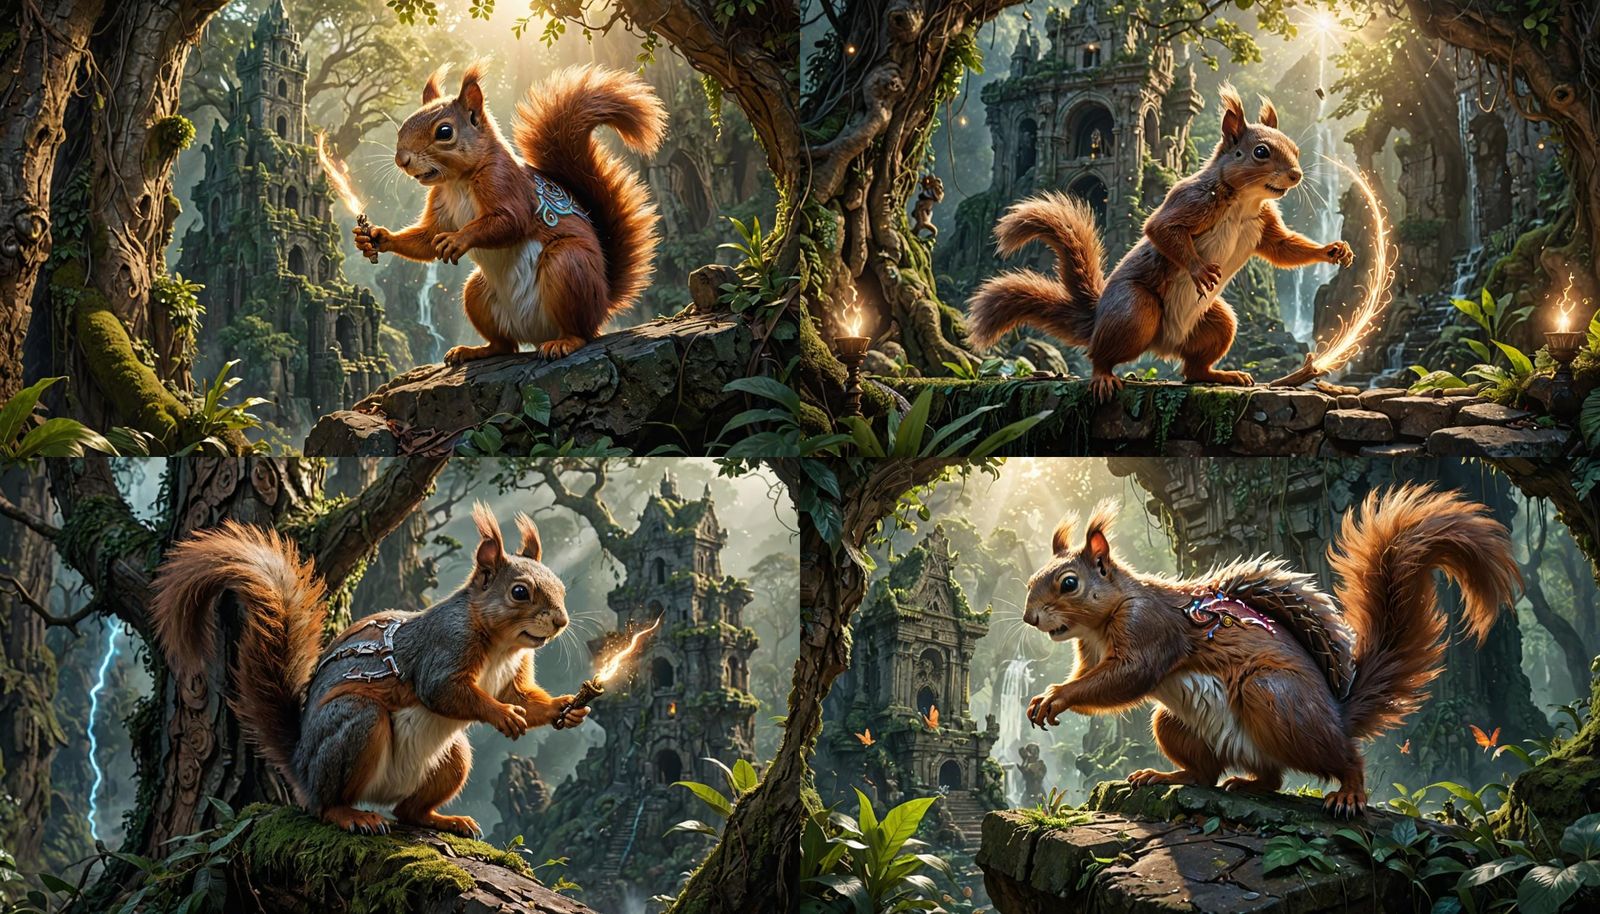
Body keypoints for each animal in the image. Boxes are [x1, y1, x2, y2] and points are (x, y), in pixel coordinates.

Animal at [149, 503, 587, 837]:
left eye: (562, 588)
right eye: (520, 592)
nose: (562, 621)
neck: (502, 646)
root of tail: (301, 766)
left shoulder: (514, 673)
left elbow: (524, 698)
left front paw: (565, 707)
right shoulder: (442, 649)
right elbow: (443, 691)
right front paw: (501, 715)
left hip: (453, 758)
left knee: (410, 812)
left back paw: (447, 820)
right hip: (355, 726)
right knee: (325, 805)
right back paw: (353, 816)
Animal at [354, 63, 668, 364]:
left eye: (444, 132)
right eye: (402, 128)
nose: (402, 160)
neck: (458, 181)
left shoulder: (505, 182)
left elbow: (510, 222)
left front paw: (457, 239)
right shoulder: (440, 199)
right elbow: (427, 238)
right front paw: (376, 237)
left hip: (569, 267)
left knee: (582, 332)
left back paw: (565, 342)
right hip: (476, 293)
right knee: (505, 346)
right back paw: (474, 351)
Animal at [967, 84, 1356, 400]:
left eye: (1295, 149)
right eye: (1260, 152)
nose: (1296, 175)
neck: (1244, 202)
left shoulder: (1264, 225)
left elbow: (1283, 249)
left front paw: (1335, 251)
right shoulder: (1189, 201)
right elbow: (1161, 230)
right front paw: (1199, 270)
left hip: (1216, 322)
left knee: (1192, 371)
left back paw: (1223, 374)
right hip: (1135, 310)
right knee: (1101, 354)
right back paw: (1104, 376)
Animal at [1020, 485, 1520, 817]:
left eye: (1069, 583)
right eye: (1031, 580)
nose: (1029, 618)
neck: (1102, 620)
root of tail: (1336, 715)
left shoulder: (1150, 629)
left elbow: (1127, 676)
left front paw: (1057, 697)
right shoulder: (1089, 651)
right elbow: (1095, 677)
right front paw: (1048, 697)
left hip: (1274, 699)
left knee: (1341, 756)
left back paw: (1349, 792)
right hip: (1176, 723)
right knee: (1223, 775)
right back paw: (1175, 777)